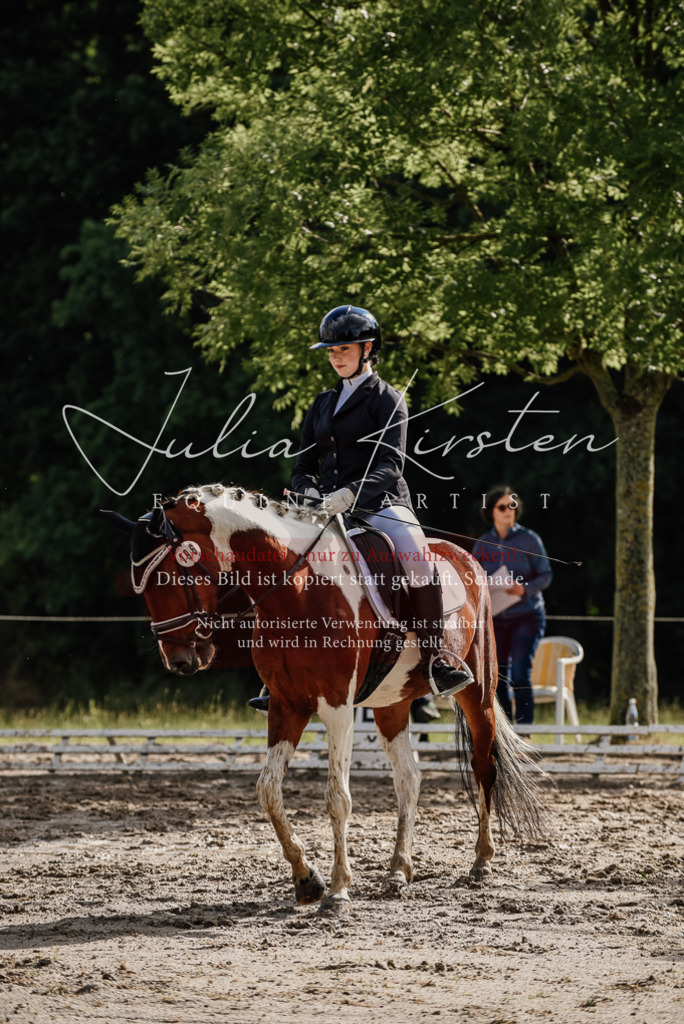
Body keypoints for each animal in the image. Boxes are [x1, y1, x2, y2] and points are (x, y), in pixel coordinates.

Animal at [102, 484, 544, 915]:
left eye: (169, 576)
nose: (179, 661)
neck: (295, 591)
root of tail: (465, 555)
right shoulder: (286, 705)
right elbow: (268, 790)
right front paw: (307, 881)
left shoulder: (336, 708)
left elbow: (338, 799)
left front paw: (338, 891)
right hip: (392, 704)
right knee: (409, 777)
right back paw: (398, 871)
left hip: (477, 690)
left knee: (484, 766)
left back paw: (481, 861)